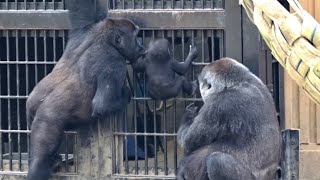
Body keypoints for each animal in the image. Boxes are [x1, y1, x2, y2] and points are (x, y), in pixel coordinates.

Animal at [25, 17, 144, 180]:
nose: (141, 47)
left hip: (32, 106)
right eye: (135, 37)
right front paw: (125, 94)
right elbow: (103, 105)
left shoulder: (87, 32)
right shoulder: (115, 63)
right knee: (41, 153)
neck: (106, 41)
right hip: (47, 121)